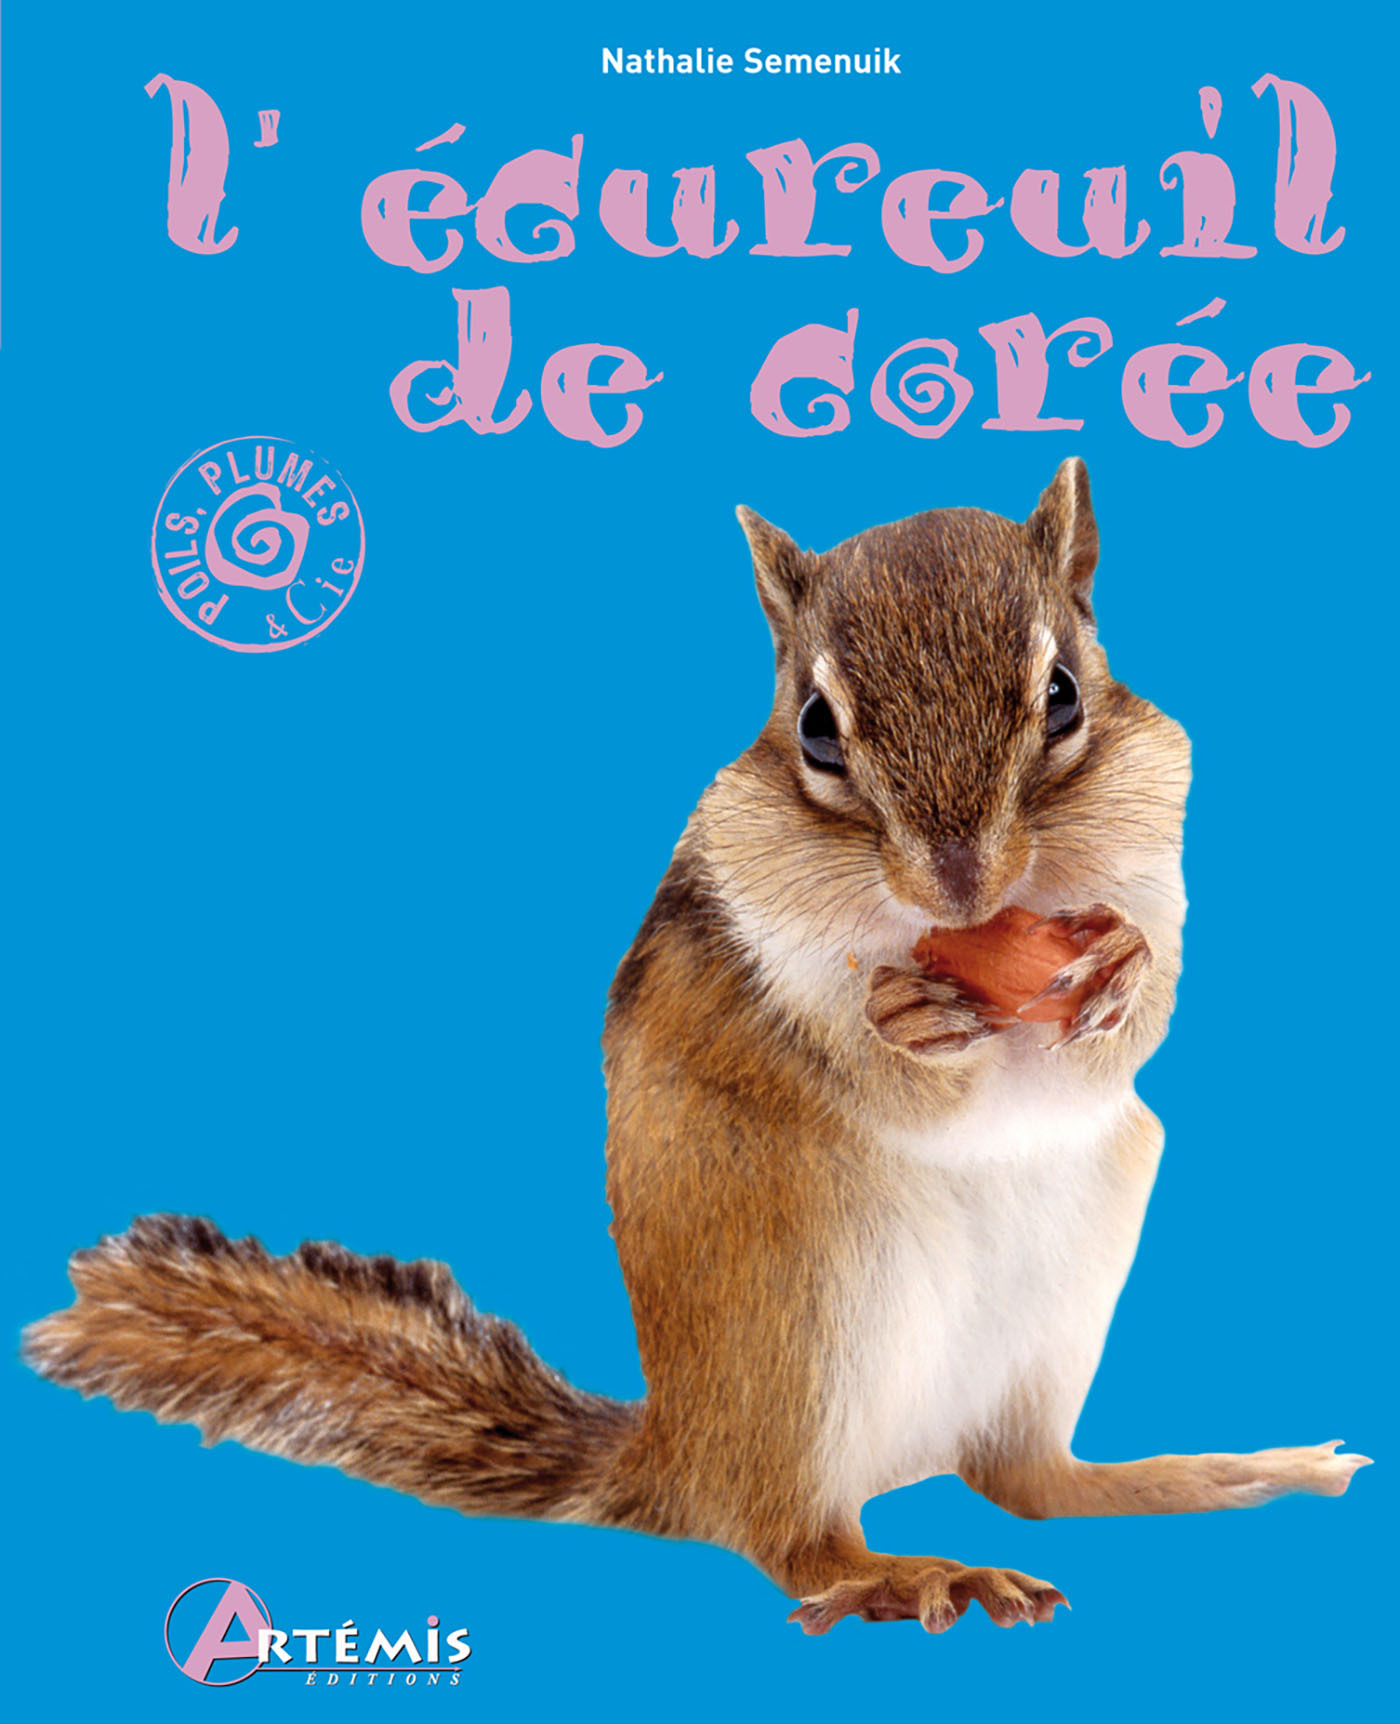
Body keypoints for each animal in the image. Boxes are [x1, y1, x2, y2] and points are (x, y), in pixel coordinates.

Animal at [25, 458, 1369, 1636]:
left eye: (1062, 698)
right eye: (816, 730)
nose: (959, 883)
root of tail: (676, 1453)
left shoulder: (1155, 861)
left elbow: (1139, 1008)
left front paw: (1119, 975)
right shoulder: (769, 952)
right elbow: (869, 1059)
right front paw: (906, 1025)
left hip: (1065, 1280)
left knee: (1025, 1476)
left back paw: (1215, 1472)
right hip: (803, 1304)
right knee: (795, 1535)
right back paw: (910, 1571)